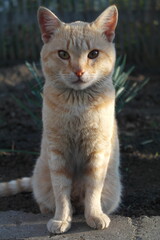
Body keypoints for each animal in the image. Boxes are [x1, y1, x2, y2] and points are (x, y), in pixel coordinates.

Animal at [0, 5, 121, 234]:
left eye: (93, 54)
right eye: (63, 54)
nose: (79, 71)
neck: (77, 103)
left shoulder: (97, 150)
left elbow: (93, 188)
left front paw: (94, 215)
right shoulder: (57, 151)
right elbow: (61, 192)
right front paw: (62, 219)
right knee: (49, 199)